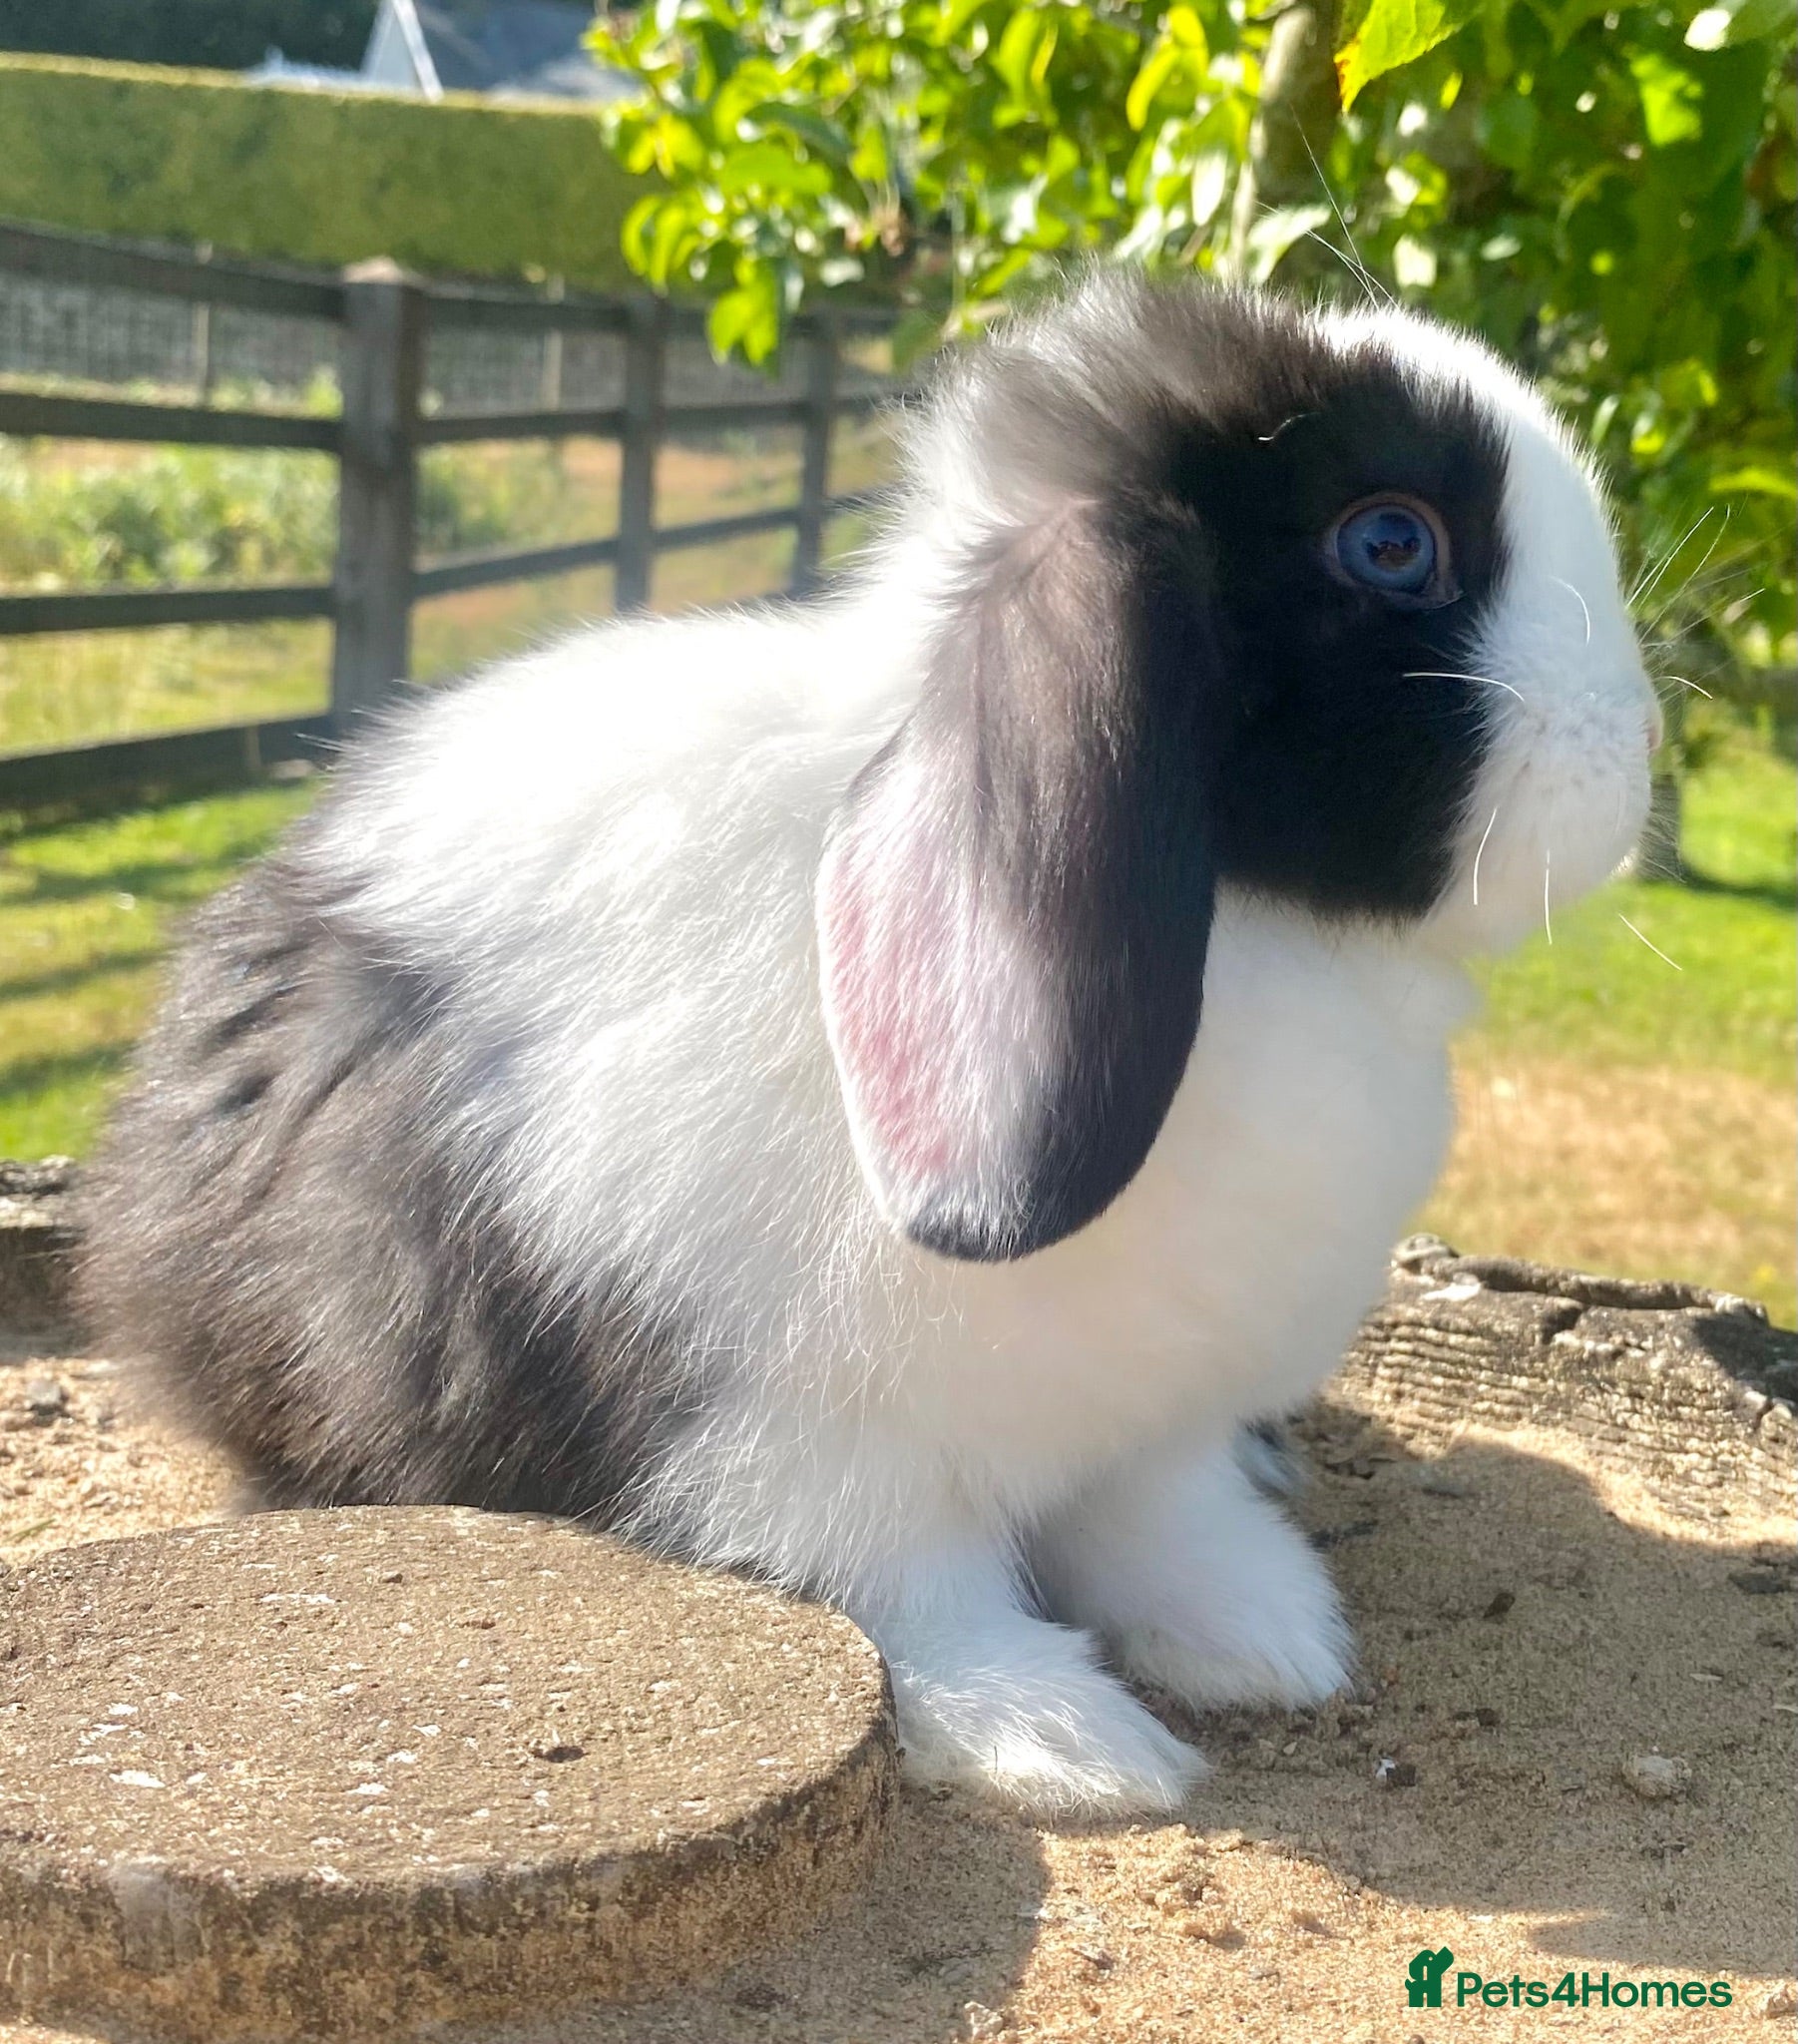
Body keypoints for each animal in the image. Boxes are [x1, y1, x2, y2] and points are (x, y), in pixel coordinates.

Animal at [81, 272, 1661, 1816]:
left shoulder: (1148, 1425)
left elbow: (1160, 1521)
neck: (1246, 919)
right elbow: (907, 1595)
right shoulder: (797, 1436)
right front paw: (1067, 1741)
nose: (1641, 744)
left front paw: (1264, 1637)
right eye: (1390, 542)